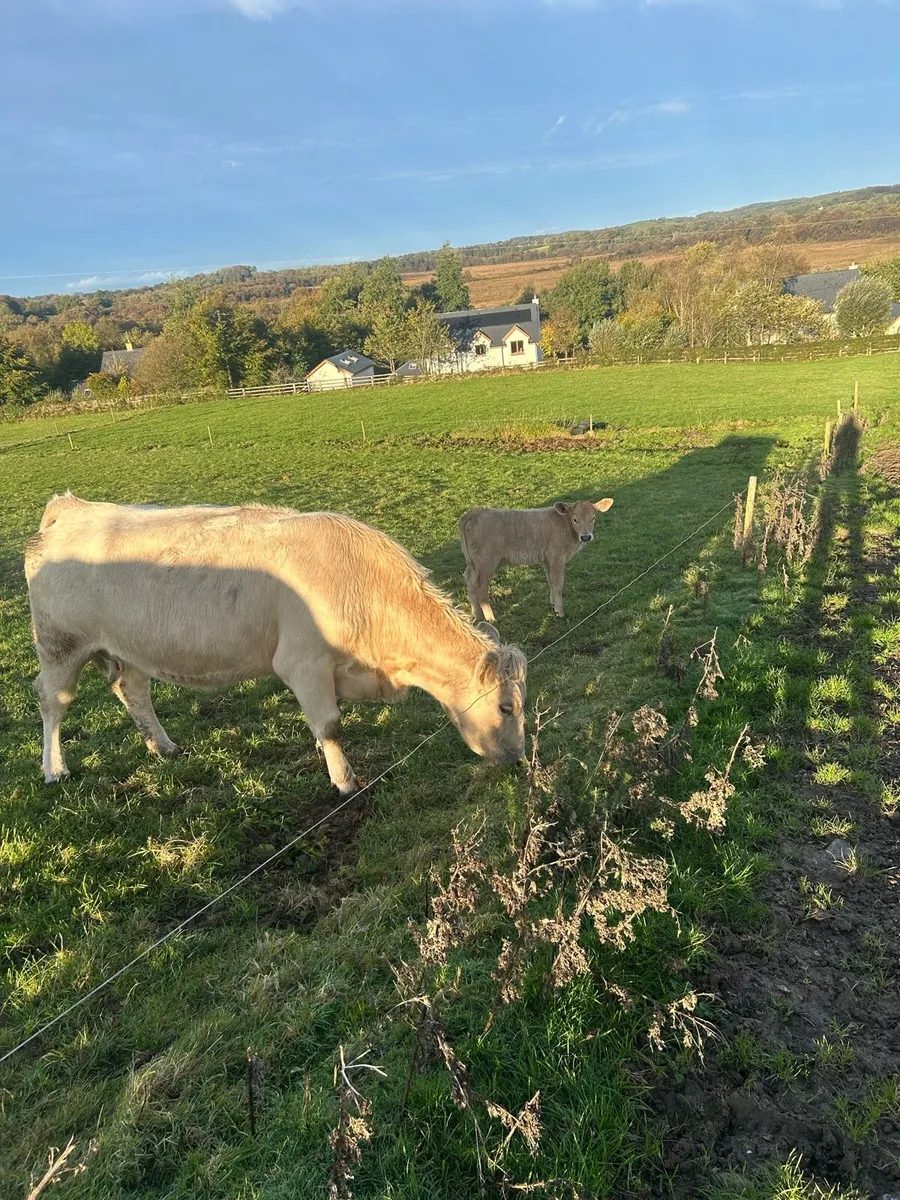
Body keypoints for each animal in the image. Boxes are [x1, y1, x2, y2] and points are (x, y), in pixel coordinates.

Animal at [25, 493, 527, 795]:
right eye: (505, 707)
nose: (520, 759)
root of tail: (71, 507)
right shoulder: (303, 663)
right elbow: (330, 726)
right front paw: (344, 781)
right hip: (60, 645)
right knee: (52, 701)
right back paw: (54, 769)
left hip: (130, 649)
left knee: (132, 691)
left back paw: (163, 746)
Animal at [459, 497, 614, 622]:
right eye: (575, 519)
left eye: (593, 518)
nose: (586, 536)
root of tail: (473, 512)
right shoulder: (557, 557)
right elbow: (558, 583)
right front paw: (560, 612)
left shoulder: (547, 559)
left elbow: (550, 581)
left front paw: (554, 606)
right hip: (486, 562)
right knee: (481, 589)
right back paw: (491, 618)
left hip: (473, 564)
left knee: (469, 580)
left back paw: (477, 615)